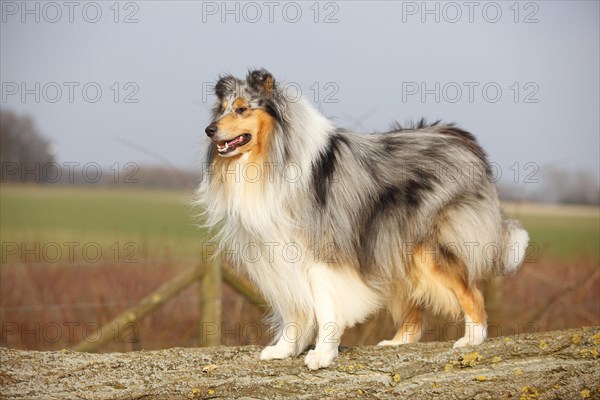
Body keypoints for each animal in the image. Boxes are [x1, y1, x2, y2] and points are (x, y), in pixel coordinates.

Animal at [195, 69, 528, 372]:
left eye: (242, 109)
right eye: (221, 108)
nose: (209, 129)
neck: (269, 159)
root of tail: (462, 139)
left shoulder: (323, 253)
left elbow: (325, 307)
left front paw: (321, 355)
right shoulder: (278, 255)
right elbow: (293, 309)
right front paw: (284, 349)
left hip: (430, 248)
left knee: (472, 293)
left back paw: (472, 339)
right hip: (392, 244)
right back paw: (397, 342)